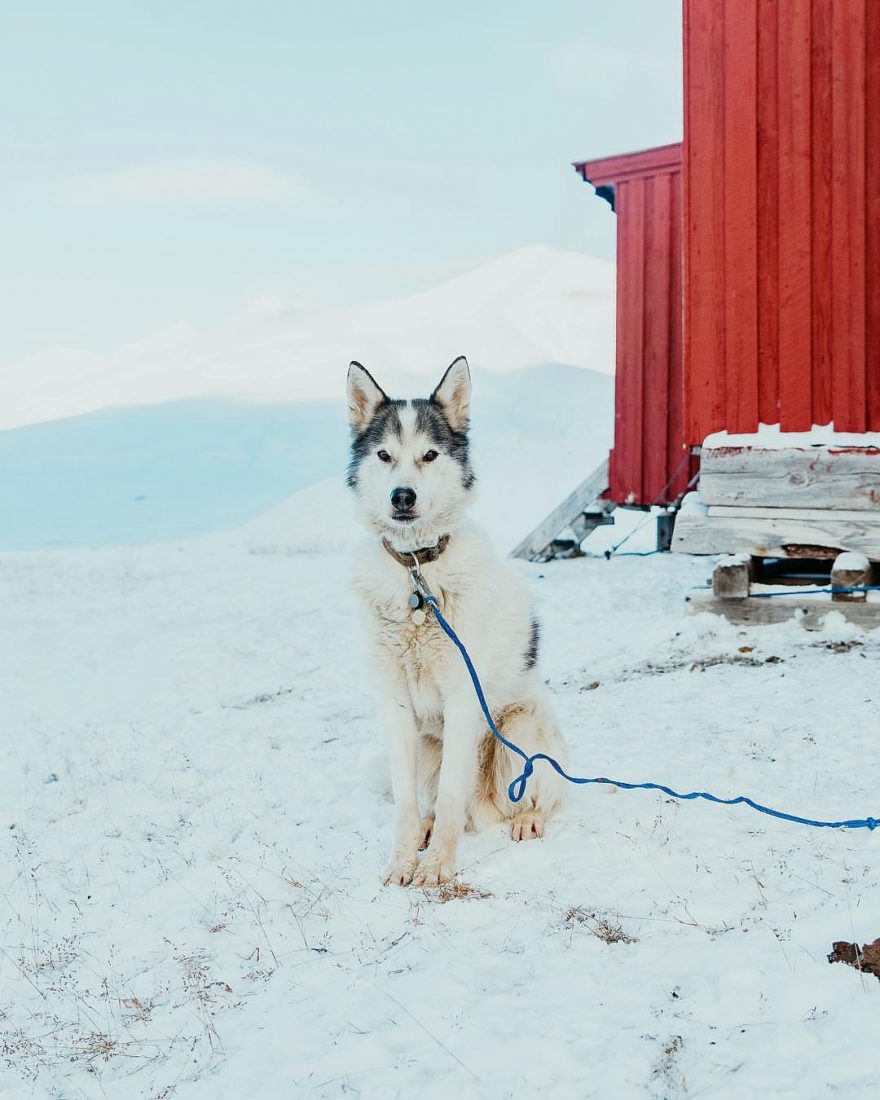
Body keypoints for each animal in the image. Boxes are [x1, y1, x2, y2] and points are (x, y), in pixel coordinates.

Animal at [347, 356, 567, 888]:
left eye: (429, 455)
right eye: (384, 455)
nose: (402, 496)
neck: (417, 573)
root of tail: (484, 810)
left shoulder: (463, 699)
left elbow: (449, 797)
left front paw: (437, 868)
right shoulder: (395, 708)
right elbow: (407, 805)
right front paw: (404, 863)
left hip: (522, 727)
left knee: (544, 797)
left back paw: (528, 818)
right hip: (430, 746)